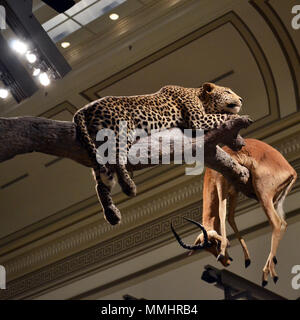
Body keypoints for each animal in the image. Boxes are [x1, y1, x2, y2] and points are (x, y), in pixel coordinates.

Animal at [73, 83, 244, 225]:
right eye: (227, 91)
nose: (241, 99)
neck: (199, 96)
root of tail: (83, 109)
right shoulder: (198, 119)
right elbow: (223, 116)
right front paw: (239, 117)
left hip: (96, 146)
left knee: (100, 181)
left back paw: (111, 213)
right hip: (120, 130)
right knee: (117, 158)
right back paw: (128, 186)